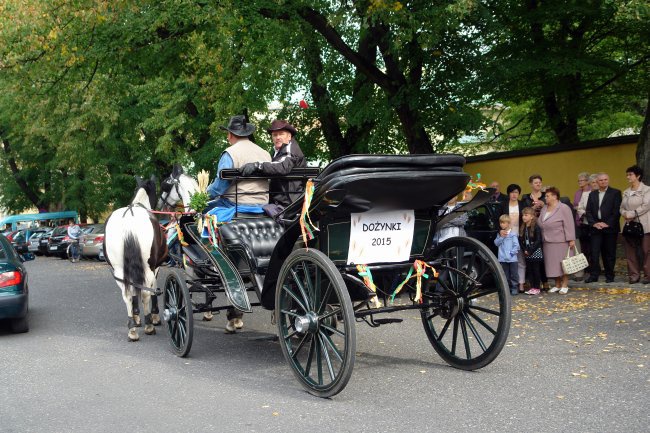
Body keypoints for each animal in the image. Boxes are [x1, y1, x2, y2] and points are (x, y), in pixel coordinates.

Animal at [104, 176, 167, 340]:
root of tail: (129, 223)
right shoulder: (156, 267)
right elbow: (153, 290)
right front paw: (154, 317)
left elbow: (133, 292)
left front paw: (136, 317)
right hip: (147, 268)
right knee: (144, 293)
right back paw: (149, 326)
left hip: (119, 270)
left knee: (127, 294)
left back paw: (132, 328)